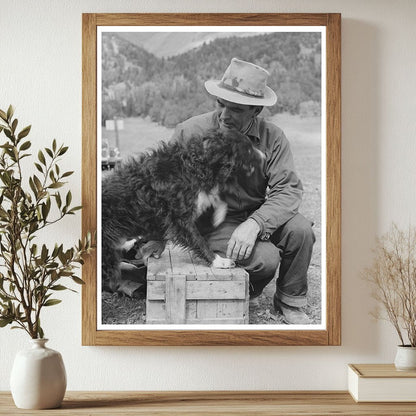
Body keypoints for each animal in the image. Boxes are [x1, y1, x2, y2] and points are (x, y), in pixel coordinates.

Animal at [102, 130, 262, 292]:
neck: (196, 165)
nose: (264, 157)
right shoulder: (179, 217)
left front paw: (218, 214)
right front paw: (218, 261)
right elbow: (198, 239)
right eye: (249, 149)